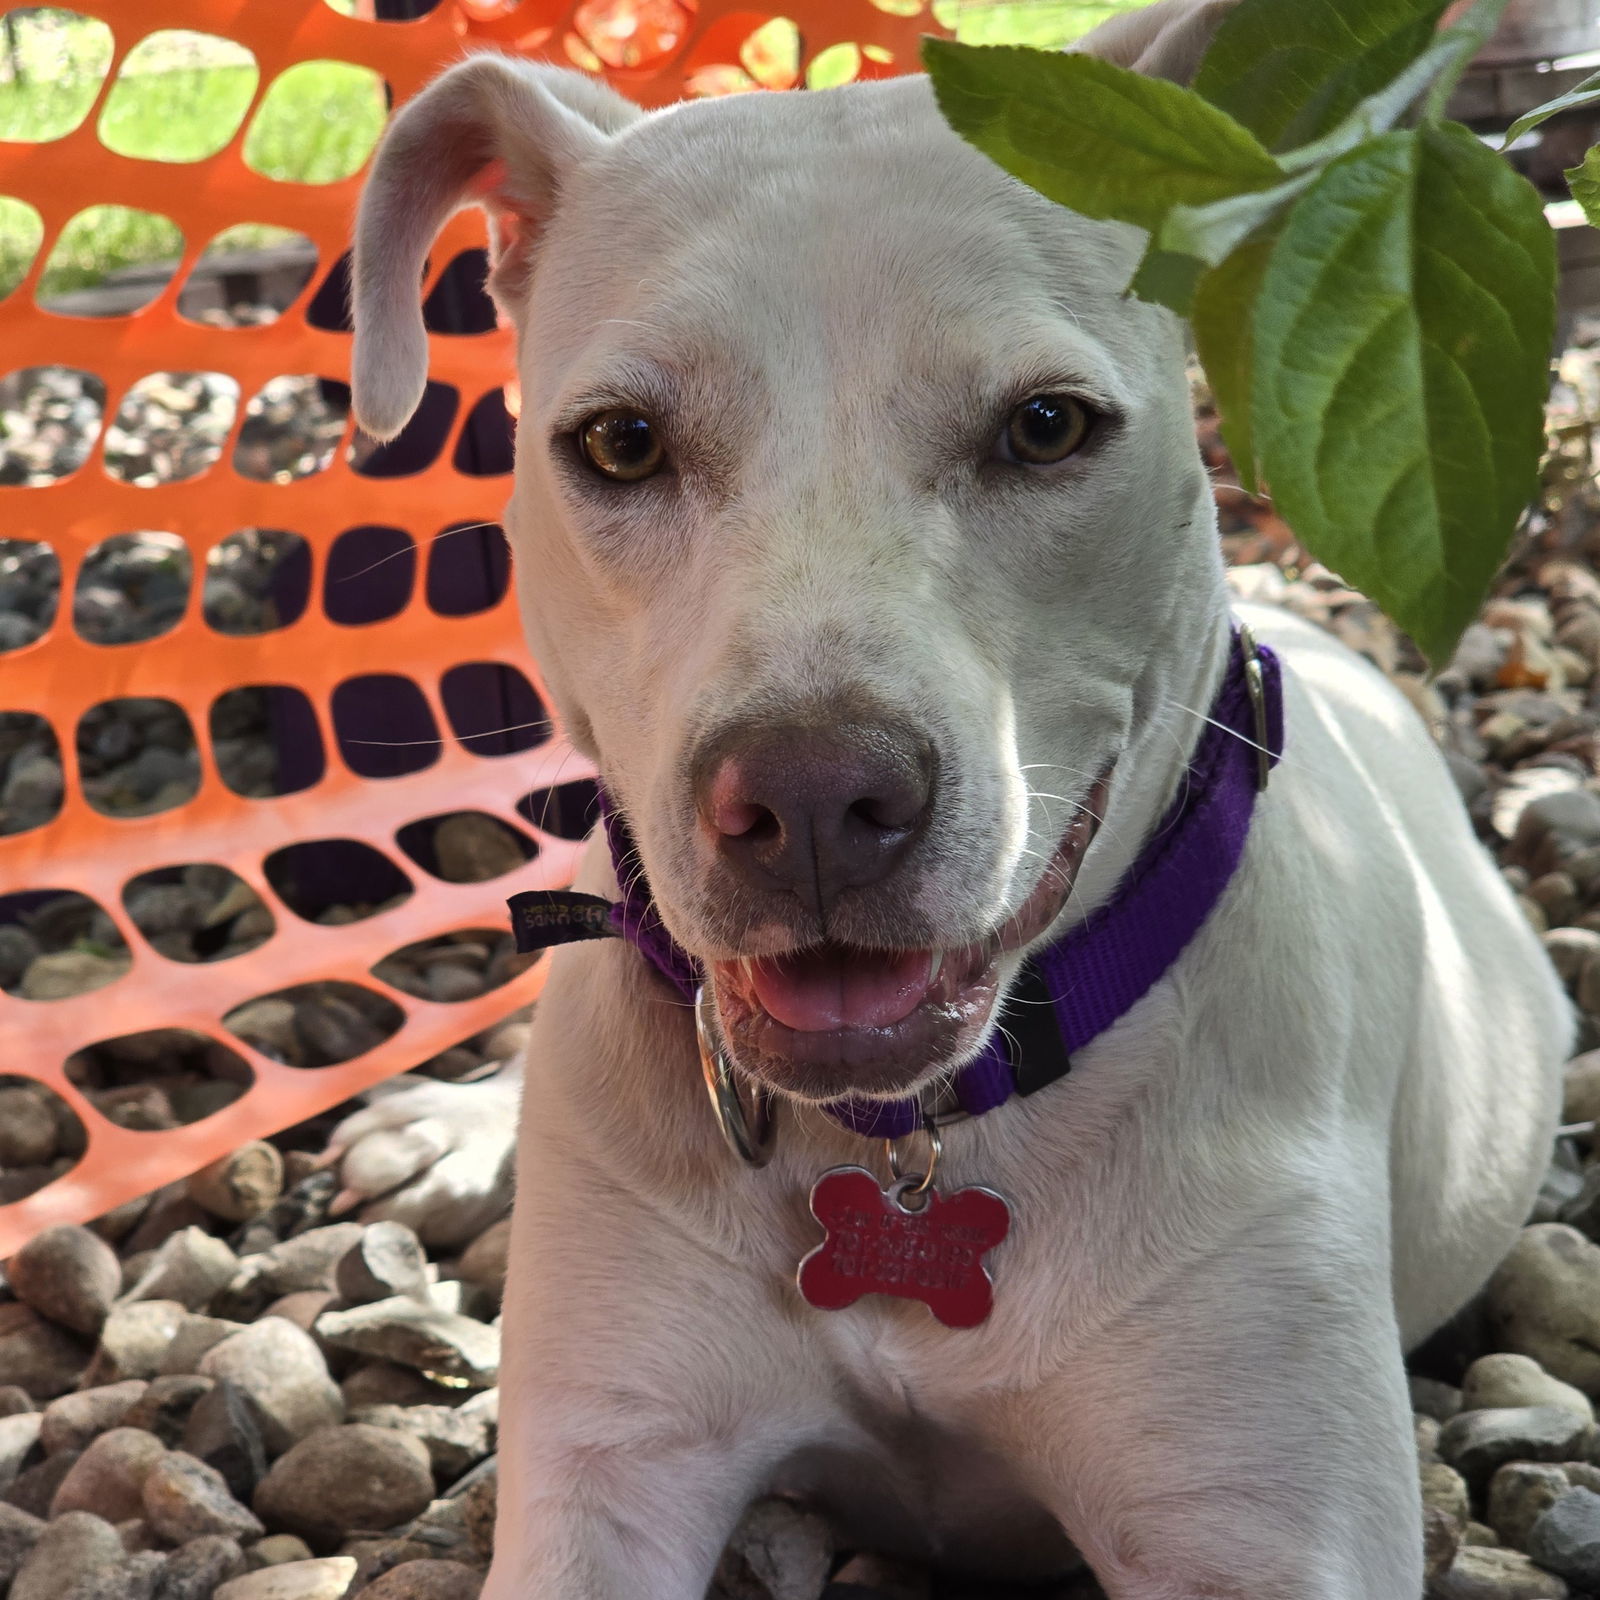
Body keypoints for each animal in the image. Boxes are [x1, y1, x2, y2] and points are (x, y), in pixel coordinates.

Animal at [340, 6, 1574, 1593]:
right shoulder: (603, 1476)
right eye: (618, 442)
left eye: (1047, 426)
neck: (908, 1141)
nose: (810, 799)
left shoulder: (1258, 1532)